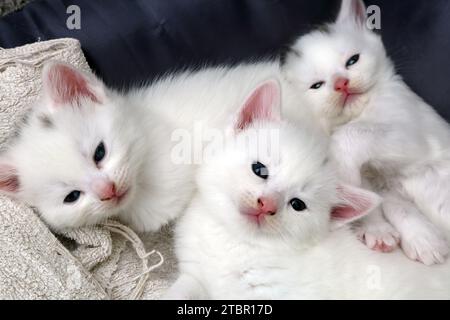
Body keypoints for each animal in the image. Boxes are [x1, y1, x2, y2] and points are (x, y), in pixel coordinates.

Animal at [284, 0, 450, 264]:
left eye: (352, 61)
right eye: (317, 85)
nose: (341, 84)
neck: (360, 113)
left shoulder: (415, 133)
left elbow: (349, 136)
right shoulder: (382, 186)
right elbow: (389, 204)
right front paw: (393, 233)